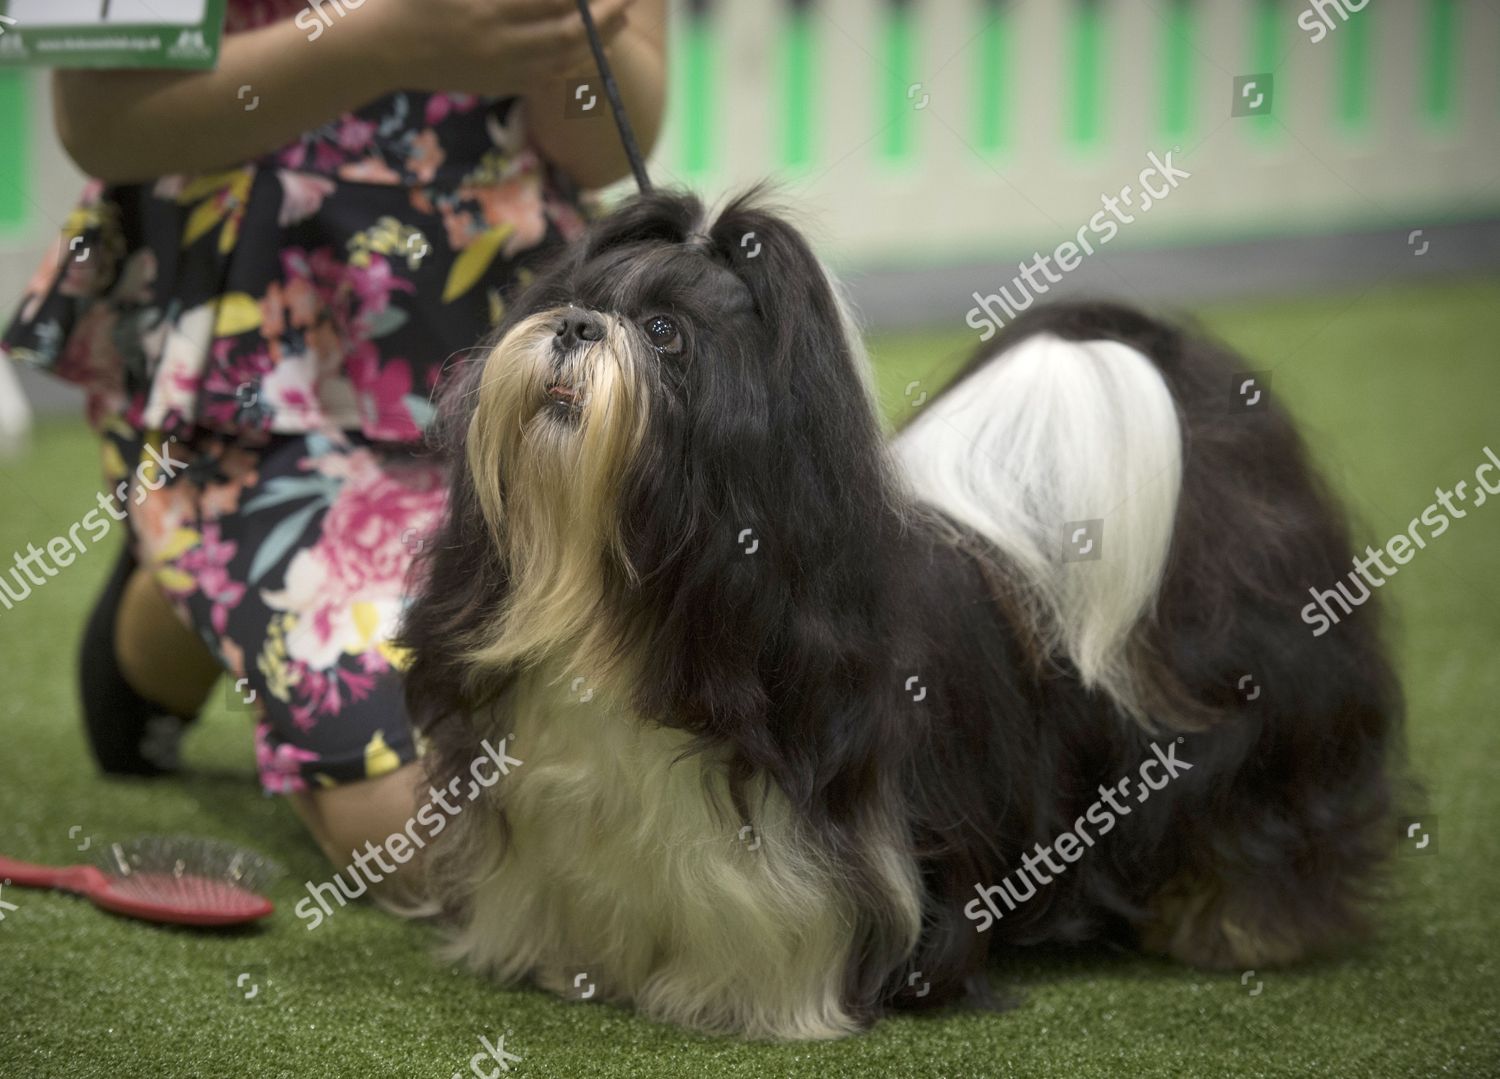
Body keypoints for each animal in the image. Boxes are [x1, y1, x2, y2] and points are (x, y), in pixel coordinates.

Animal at [402, 189, 1404, 1044]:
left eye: (664, 333)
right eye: (573, 299)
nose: (574, 326)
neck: (617, 605)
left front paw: (747, 1004)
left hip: (1262, 746)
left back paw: (1239, 929)